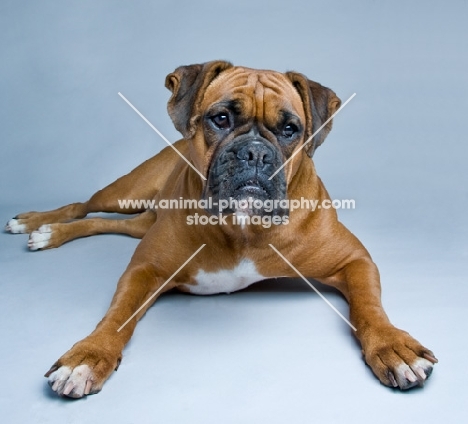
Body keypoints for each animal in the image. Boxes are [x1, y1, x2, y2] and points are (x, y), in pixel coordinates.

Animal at [3, 60, 436, 398]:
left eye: (290, 129)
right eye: (221, 118)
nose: (255, 152)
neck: (242, 227)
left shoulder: (355, 261)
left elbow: (369, 307)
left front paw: (393, 346)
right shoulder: (144, 271)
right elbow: (118, 315)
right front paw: (89, 356)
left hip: (140, 219)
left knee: (102, 222)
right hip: (124, 193)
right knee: (83, 206)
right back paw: (39, 224)